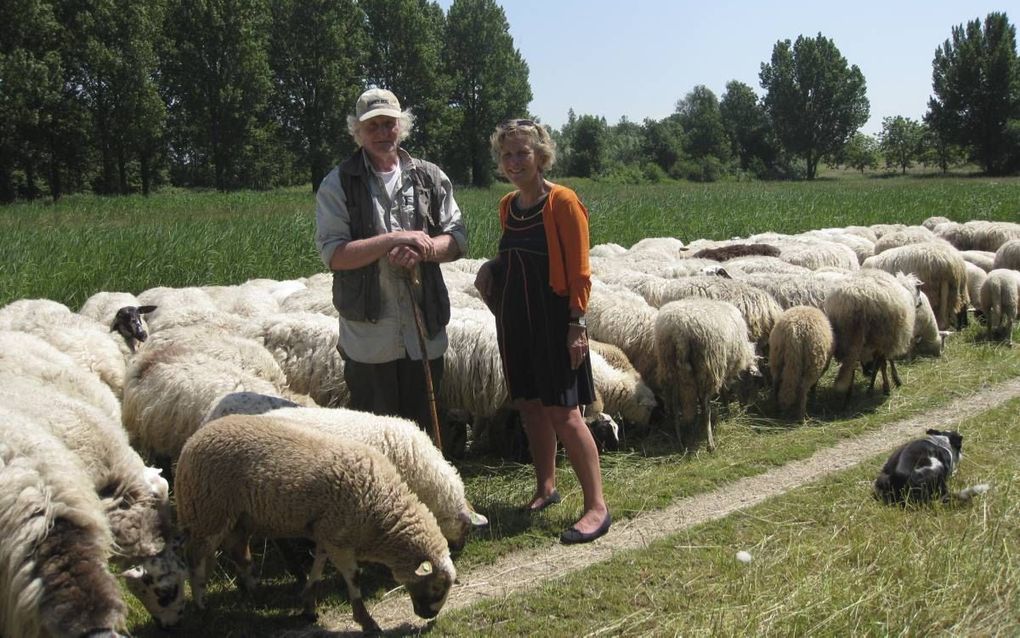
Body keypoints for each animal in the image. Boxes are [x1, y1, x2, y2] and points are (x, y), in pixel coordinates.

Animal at [177, 412, 456, 632]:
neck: (383, 509)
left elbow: (318, 566)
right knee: (195, 559)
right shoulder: (339, 538)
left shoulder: (330, 533)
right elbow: (353, 577)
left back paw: (256, 595)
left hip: (237, 518)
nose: (429, 616)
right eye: (437, 586)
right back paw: (202, 606)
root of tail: (192, 440)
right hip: (208, 512)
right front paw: (366, 621)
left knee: (237, 552)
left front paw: (309, 603)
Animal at [652, 298, 758, 447]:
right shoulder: (724, 367)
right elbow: (724, 390)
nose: (746, 409)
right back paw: (710, 443)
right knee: (705, 403)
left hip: (667, 362)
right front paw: (727, 410)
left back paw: (678, 437)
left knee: (673, 401)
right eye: (752, 383)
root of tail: (679, 331)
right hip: (707, 365)